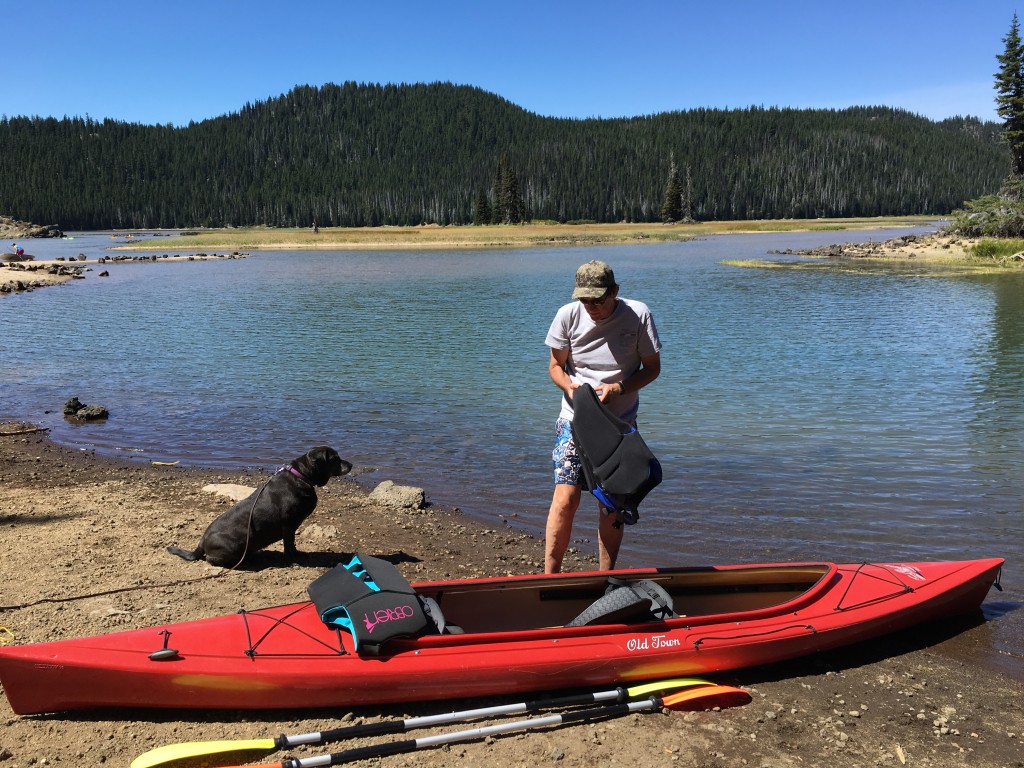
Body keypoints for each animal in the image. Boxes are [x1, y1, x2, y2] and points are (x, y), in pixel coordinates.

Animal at [167, 448, 352, 569]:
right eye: (334, 458)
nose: (350, 464)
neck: (301, 476)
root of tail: (201, 543)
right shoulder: (288, 525)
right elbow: (289, 546)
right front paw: (293, 561)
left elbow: (293, 545)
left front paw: (299, 554)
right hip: (233, 546)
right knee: (211, 560)